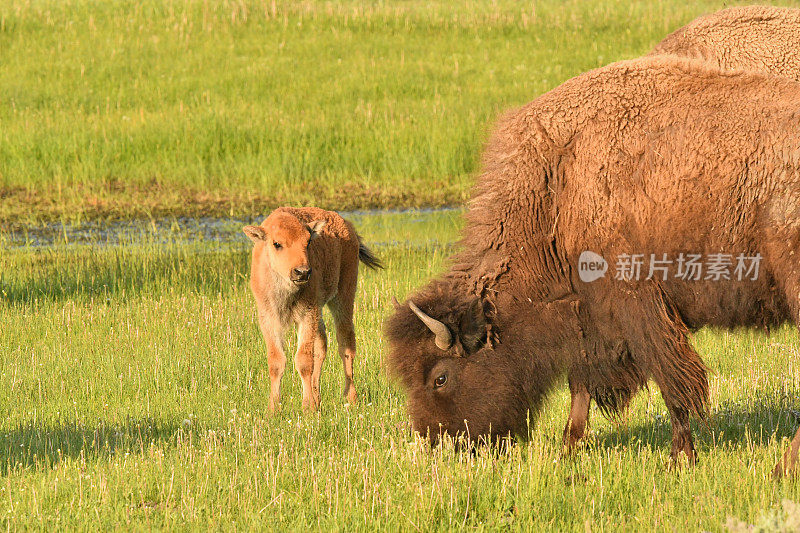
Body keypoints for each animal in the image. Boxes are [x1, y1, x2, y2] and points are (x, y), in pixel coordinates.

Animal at [242, 206, 382, 410]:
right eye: (277, 243)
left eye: (308, 242)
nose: (302, 272)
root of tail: (348, 226)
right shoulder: (269, 318)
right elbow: (276, 362)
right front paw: (273, 409)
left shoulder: (307, 314)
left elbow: (303, 360)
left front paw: (307, 408)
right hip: (320, 311)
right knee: (322, 345)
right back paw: (318, 398)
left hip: (343, 297)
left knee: (346, 344)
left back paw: (351, 398)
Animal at [386, 56, 800, 474]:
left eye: (440, 378)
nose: (441, 443)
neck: (557, 189)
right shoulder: (588, 318)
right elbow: (581, 386)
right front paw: (567, 451)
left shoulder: (638, 306)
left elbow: (673, 383)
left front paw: (679, 459)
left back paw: (781, 469)